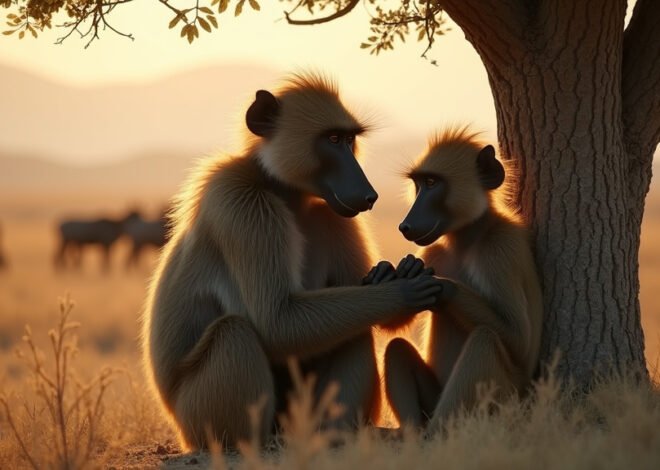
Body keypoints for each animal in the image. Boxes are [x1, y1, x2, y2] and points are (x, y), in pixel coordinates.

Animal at [142, 73, 446, 450]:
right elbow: (277, 322)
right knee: (234, 333)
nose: (368, 194)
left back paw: (335, 434)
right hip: (198, 418)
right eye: (333, 139)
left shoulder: (330, 214)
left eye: (349, 140)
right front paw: (402, 290)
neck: (285, 194)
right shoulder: (240, 204)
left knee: (354, 329)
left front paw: (395, 275)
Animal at [365, 127, 543, 431]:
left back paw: (438, 433)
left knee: (485, 339)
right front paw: (387, 275)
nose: (405, 225)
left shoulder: (499, 250)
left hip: (508, 401)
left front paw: (444, 289)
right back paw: (412, 433)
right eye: (419, 184)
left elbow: (519, 340)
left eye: (432, 182)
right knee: (397, 349)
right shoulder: (433, 251)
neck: (467, 239)